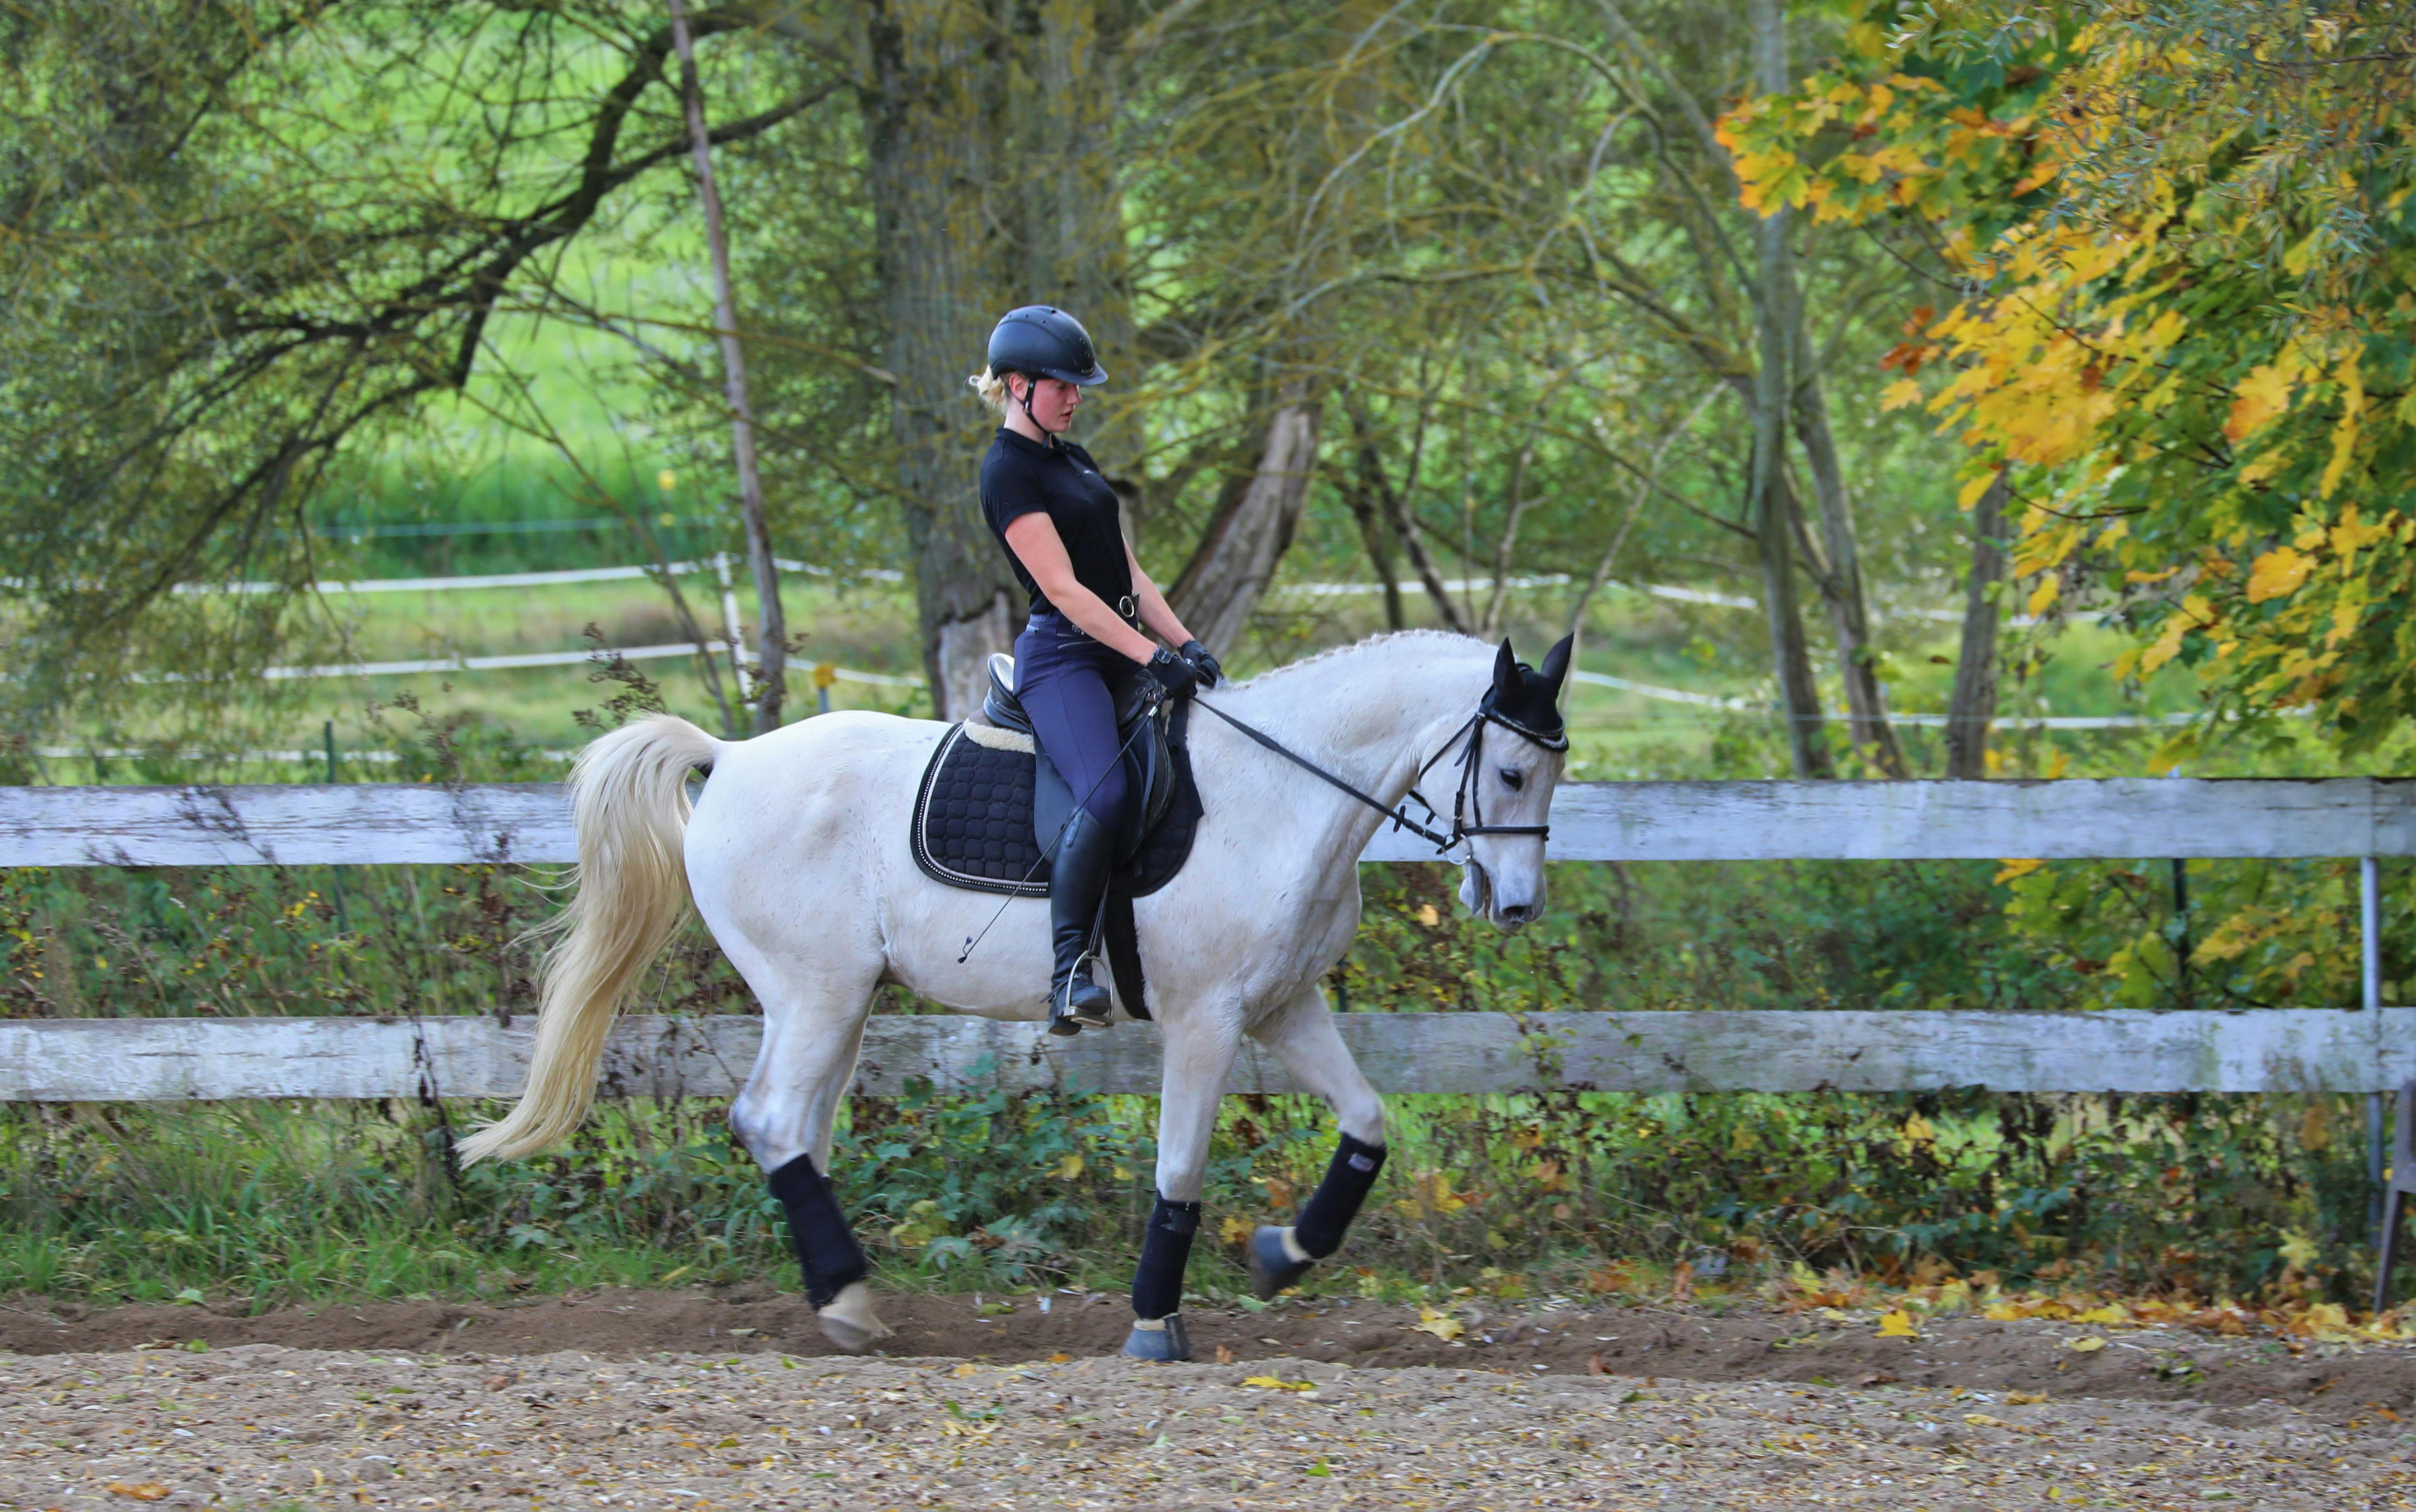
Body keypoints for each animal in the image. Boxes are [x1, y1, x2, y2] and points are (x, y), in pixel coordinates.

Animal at [461, 623, 1575, 1352]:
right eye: (1512, 774)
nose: (1518, 905)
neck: (1282, 791)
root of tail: (728, 758)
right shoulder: (1206, 1021)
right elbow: (1179, 1169)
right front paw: (1154, 1322)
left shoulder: (1281, 1006)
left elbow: (1368, 1124)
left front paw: (1285, 1253)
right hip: (816, 993)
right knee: (771, 1120)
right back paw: (847, 1303)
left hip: (835, 1002)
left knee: (797, 1130)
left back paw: (841, 1298)